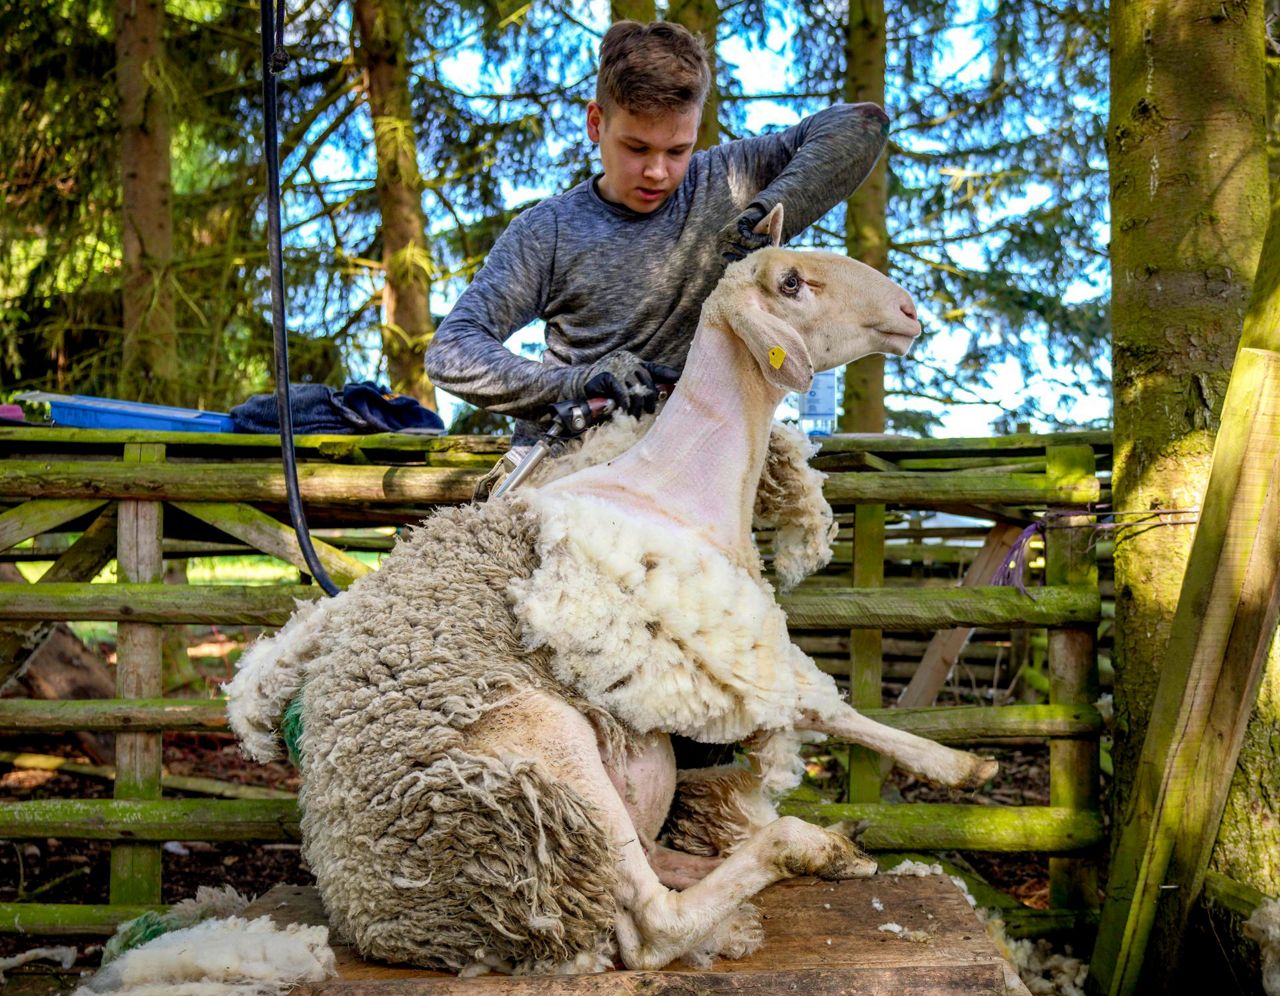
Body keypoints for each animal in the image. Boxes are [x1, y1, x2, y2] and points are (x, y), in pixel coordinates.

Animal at [226, 203, 998, 976]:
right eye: (790, 282)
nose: (908, 312)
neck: (680, 481)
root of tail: (393, 924)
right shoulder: (718, 645)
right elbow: (827, 707)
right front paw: (959, 766)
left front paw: (955, 765)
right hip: (545, 754)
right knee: (654, 926)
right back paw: (806, 849)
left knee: (658, 870)